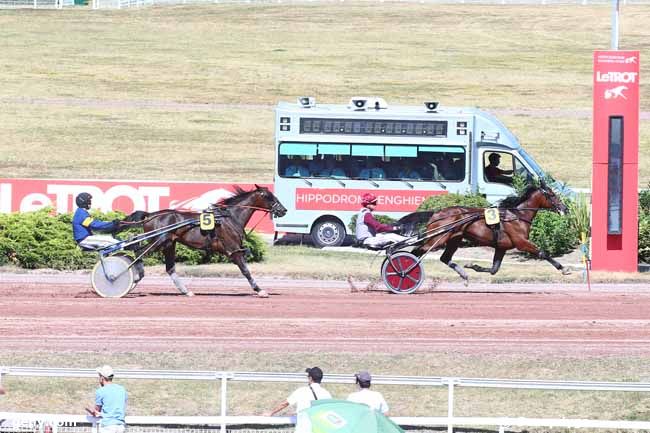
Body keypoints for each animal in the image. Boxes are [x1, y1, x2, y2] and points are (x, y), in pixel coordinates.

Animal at [126, 184, 286, 296]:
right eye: (268, 196)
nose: (283, 210)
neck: (230, 217)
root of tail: (150, 215)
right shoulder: (234, 250)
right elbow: (245, 270)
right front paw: (259, 290)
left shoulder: (234, 250)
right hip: (158, 241)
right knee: (138, 250)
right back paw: (135, 276)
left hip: (168, 244)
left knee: (169, 268)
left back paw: (186, 291)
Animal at [404, 182, 568, 284]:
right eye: (552, 195)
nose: (565, 208)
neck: (517, 215)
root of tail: (436, 213)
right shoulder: (521, 242)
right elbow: (542, 253)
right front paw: (563, 269)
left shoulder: (502, 247)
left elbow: (494, 270)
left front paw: (473, 266)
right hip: (438, 238)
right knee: (417, 251)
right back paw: (404, 271)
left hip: (454, 239)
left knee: (444, 258)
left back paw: (464, 274)